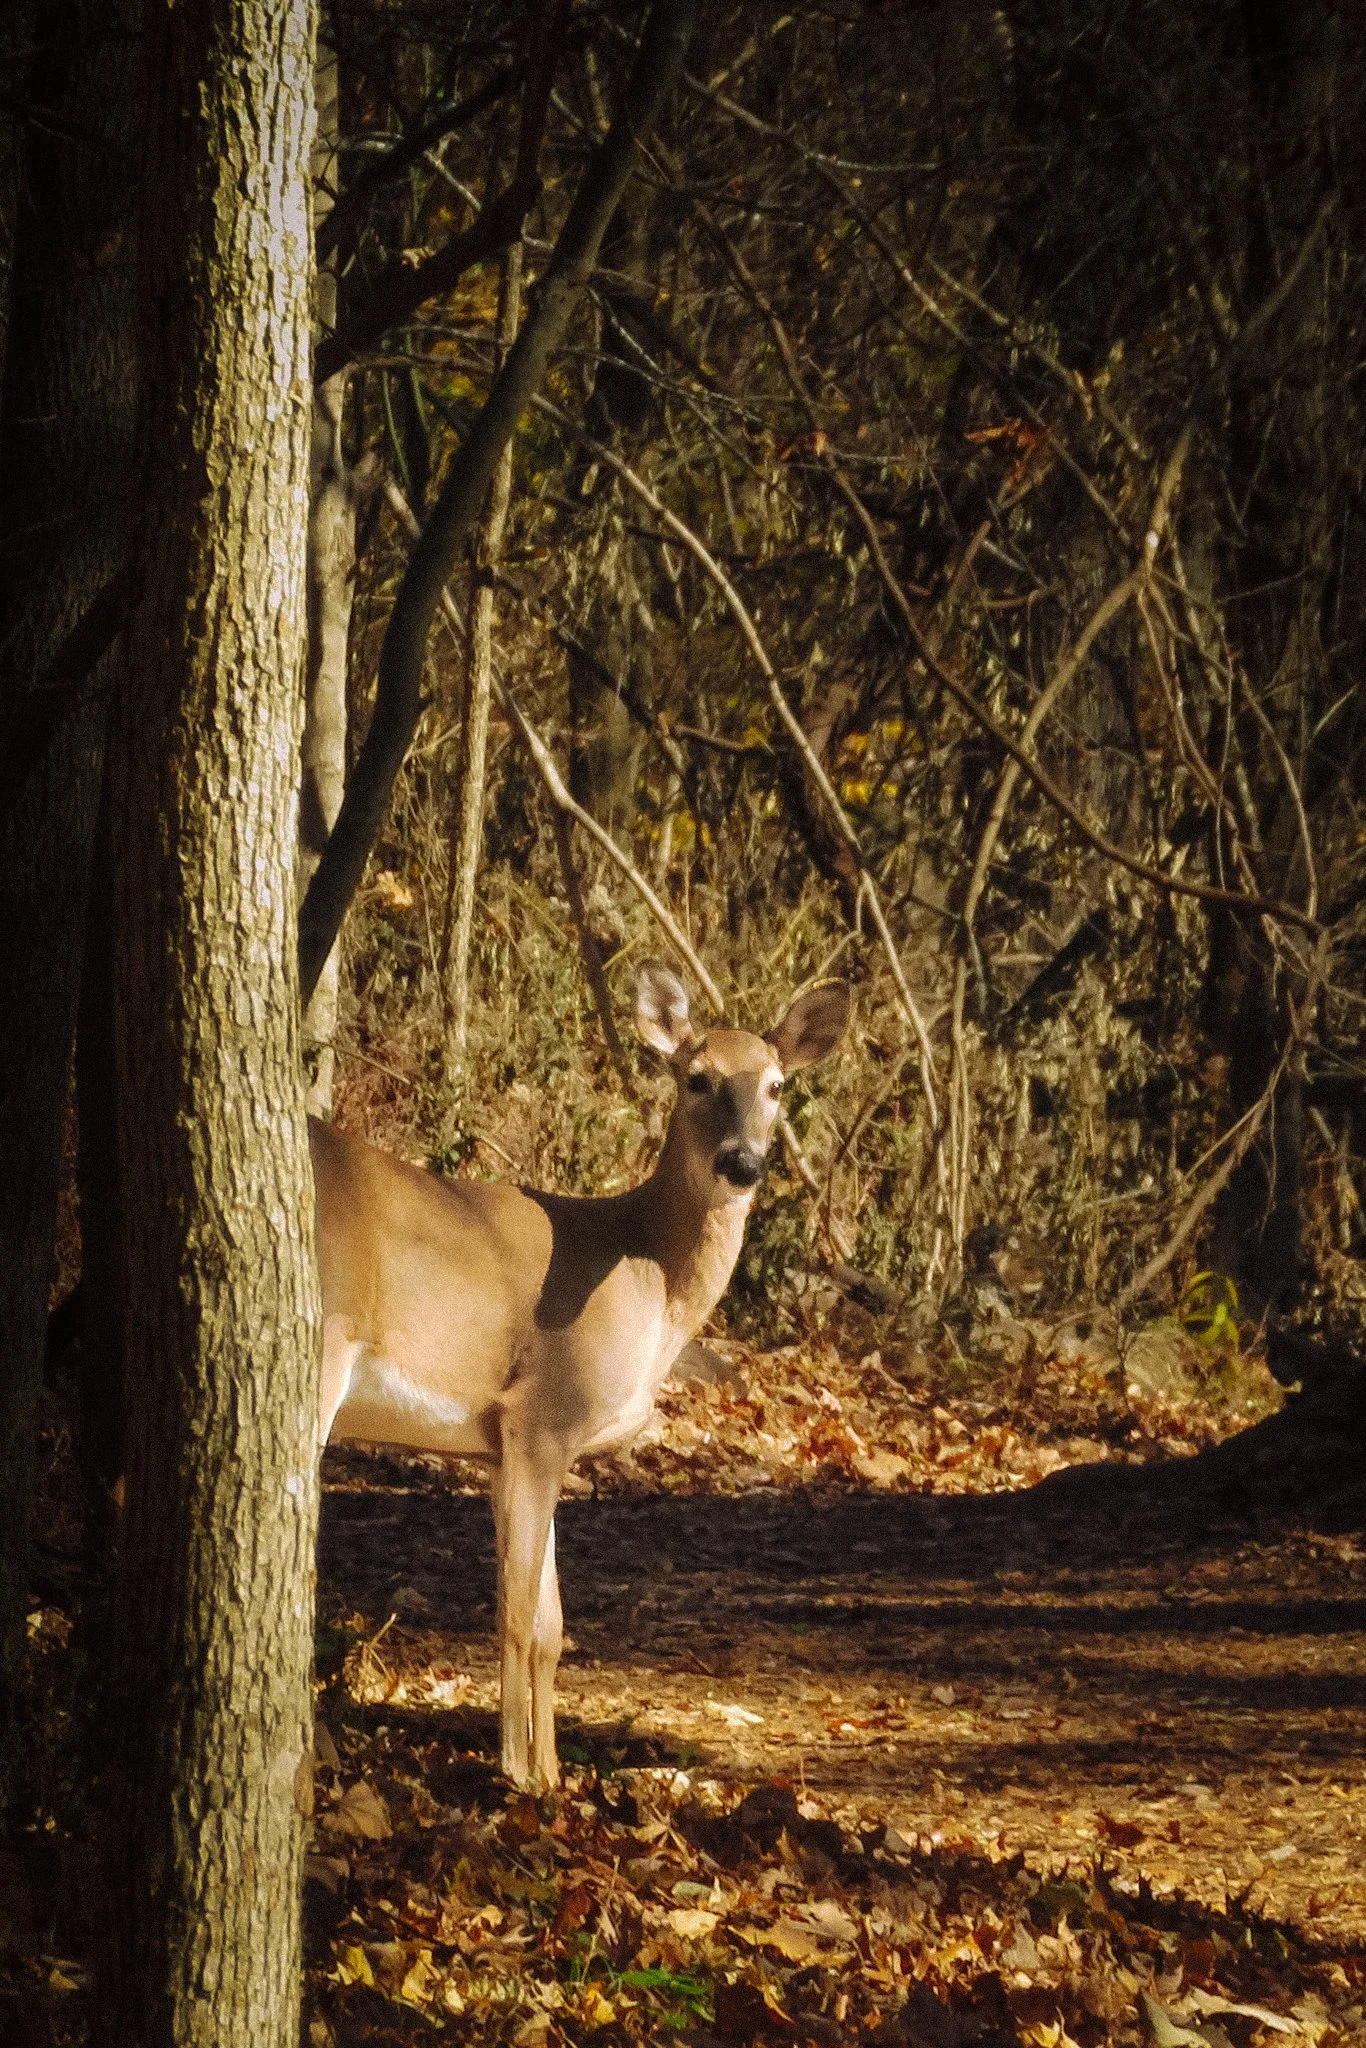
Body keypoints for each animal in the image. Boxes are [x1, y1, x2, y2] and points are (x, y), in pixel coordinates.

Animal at [311, 959, 850, 1792]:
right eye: (696, 1077)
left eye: (777, 1085)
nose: (742, 1163)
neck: (647, 1275)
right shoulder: (542, 1415)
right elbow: (516, 1610)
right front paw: (516, 1773)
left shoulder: (506, 1447)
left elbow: (553, 1624)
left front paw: (553, 1774)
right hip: (320, 1347)